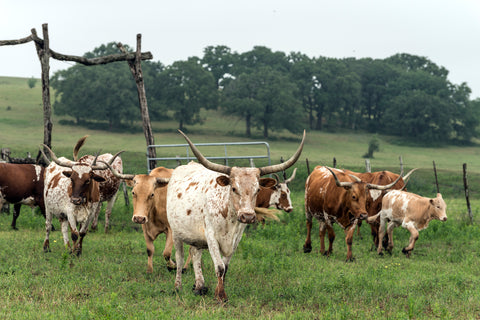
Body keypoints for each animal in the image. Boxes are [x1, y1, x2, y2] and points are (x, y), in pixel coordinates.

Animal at [167, 129, 306, 302]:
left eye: (257, 190)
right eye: (233, 188)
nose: (248, 216)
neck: (229, 215)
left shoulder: (236, 238)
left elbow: (225, 267)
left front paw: (217, 291)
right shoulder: (211, 236)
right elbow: (219, 267)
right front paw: (221, 296)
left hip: (195, 235)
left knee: (195, 254)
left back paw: (199, 287)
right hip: (176, 232)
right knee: (179, 259)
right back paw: (177, 287)